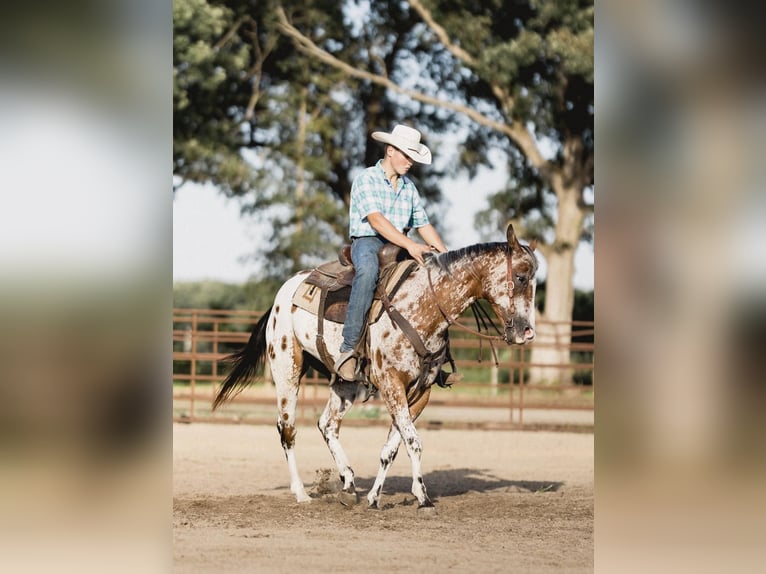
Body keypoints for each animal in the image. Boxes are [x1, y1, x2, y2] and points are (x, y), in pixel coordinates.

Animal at [213, 227, 536, 510]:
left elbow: (392, 448)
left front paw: (376, 497)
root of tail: (283, 294)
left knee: (327, 424)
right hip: (286, 368)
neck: (422, 305)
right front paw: (423, 499)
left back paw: (348, 482)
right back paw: (302, 493)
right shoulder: (391, 383)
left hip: (344, 383)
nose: (526, 332)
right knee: (287, 429)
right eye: (520, 277)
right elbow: (413, 442)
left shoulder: (420, 392)